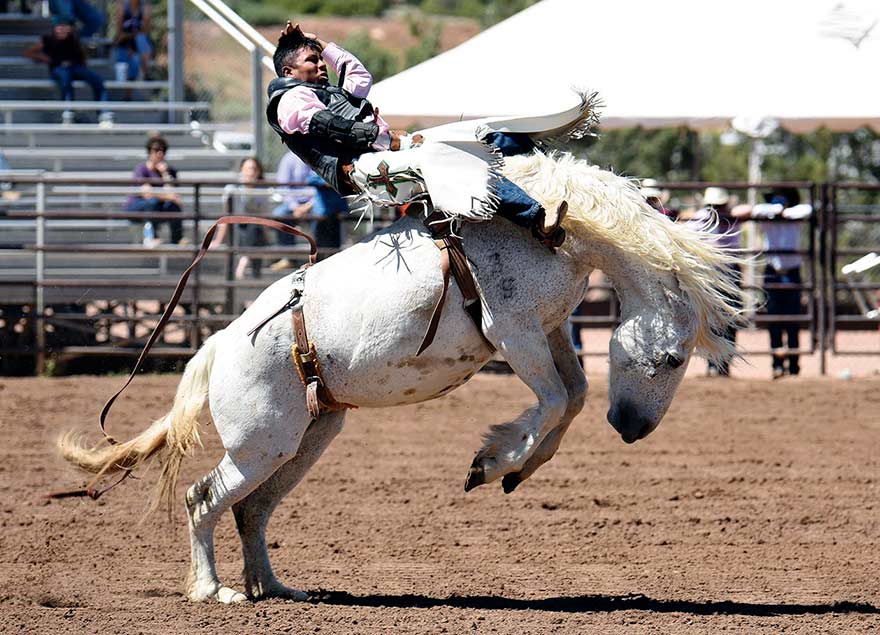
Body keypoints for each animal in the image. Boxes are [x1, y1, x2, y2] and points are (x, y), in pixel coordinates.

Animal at [58, 150, 740, 608]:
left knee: (252, 509)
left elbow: (572, 396)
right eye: (674, 358)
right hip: (260, 442)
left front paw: (515, 469)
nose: (633, 430)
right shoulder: (513, 330)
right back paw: (213, 591)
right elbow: (551, 400)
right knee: (205, 497)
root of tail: (222, 342)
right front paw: (492, 463)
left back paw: (273, 587)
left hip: (306, 438)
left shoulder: (548, 331)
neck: (553, 226)